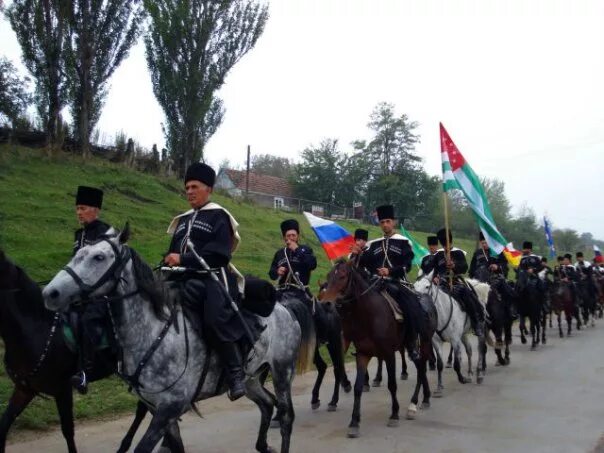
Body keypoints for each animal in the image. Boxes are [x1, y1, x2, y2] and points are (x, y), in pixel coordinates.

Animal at [0, 251, 175, 452]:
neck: (38, 327)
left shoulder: (62, 390)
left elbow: (68, 431)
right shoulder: (24, 389)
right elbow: (4, 424)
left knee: (143, 409)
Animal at [42, 226, 314, 452]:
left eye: (99, 257)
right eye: (79, 252)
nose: (50, 293)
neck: (154, 332)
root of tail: (286, 308)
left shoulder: (169, 408)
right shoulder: (159, 409)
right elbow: (176, 447)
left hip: (282, 372)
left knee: (286, 416)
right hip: (251, 379)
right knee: (267, 404)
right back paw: (262, 445)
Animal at [318, 260, 436, 436]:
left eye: (342, 276)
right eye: (328, 276)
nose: (326, 304)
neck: (369, 316)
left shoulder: (389, 354)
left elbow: (392, 384)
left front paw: (394, 415)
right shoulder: (362, 354)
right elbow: (357, 387)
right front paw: (354, 422)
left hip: (425, 343)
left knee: (421, 367)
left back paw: (413, 404)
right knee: (421, 367)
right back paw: (425, 398)